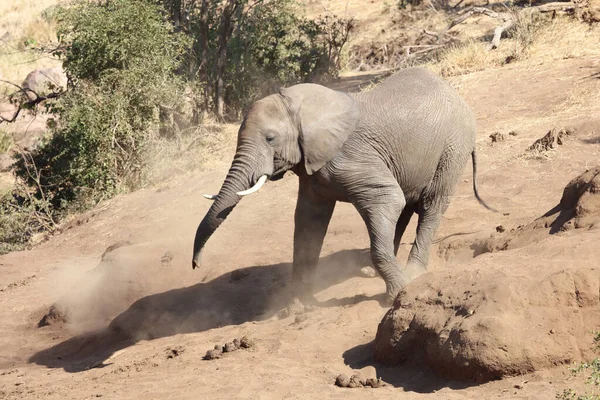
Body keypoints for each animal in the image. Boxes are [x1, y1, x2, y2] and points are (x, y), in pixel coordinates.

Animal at [191, 66, 492, 310]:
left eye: (270, 138)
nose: (196, 264)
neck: (301, 107)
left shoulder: (350, 156)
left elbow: (387, 198)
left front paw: (397, 294)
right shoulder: (313, 169)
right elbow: (308, 223)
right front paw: (298, 308)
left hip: (453, 146)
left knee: (431, 205)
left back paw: (413, 273)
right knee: (407, 205)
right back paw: (373, 272)